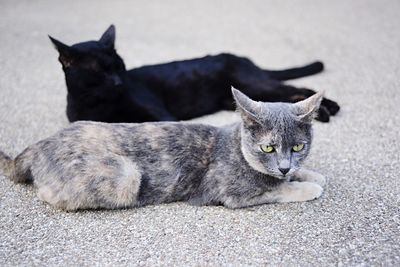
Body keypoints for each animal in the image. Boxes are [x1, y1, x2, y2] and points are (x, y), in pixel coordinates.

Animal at [0, 88, 324, 211]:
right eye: (268, 147)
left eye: (298, 146)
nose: (284, 165)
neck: (235, 146)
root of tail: (40, 143)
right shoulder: (234, 194)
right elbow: (278, 190)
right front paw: (308, 186)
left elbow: (292, 178)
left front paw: (310, 174)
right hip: (125, 177)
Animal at [48, 24, 340, 123]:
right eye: (100, 70)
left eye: (120, 66)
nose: (120, 82)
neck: (98, 104)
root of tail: (243, 58)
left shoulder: (160, 115)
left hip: (255, 85)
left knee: (299, 91)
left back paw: (328, 110)